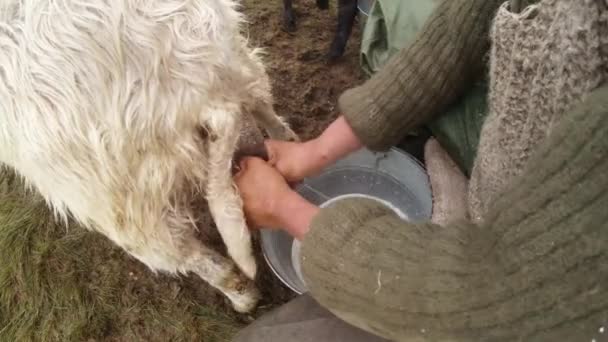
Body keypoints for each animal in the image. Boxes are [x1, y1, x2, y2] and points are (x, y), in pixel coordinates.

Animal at [0, 0, 296, 312]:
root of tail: (187, 82)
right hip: (230, 56)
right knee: (259, 96)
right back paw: (286, 139)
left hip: (117, 198)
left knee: (183, 254)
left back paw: (242, 298)